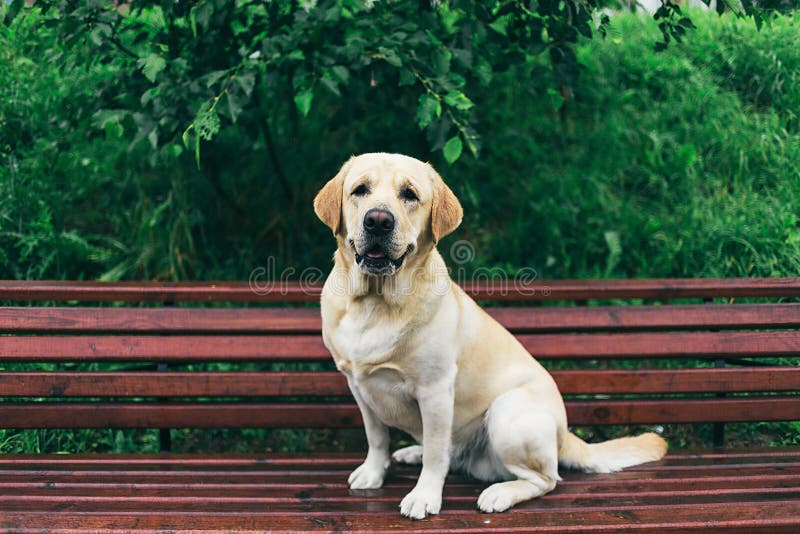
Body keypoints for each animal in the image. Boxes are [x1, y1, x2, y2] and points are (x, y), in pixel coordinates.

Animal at [314, 154, 668, 520]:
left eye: (409, 194)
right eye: (360, 190)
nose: (378, 220)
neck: (375, 303)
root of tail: (565, 434)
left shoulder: (435, 390)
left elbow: (436, 454)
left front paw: (425, 496)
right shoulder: (359, 385)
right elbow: (377, 437)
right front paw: (373, 472)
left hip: (506, 414)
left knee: (547, 479)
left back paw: (500, 493)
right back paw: (413, 451)